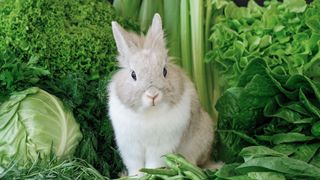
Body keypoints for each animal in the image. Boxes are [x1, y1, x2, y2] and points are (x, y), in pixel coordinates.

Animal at [107, 13, 218, 176]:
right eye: (133, 74)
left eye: (165, 71)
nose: (153, 95)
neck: (149, 112)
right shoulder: (130, 146)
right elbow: (135, 165)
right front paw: (136, 176)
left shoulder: (161, 146)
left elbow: (153, 164)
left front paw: (150, 174)